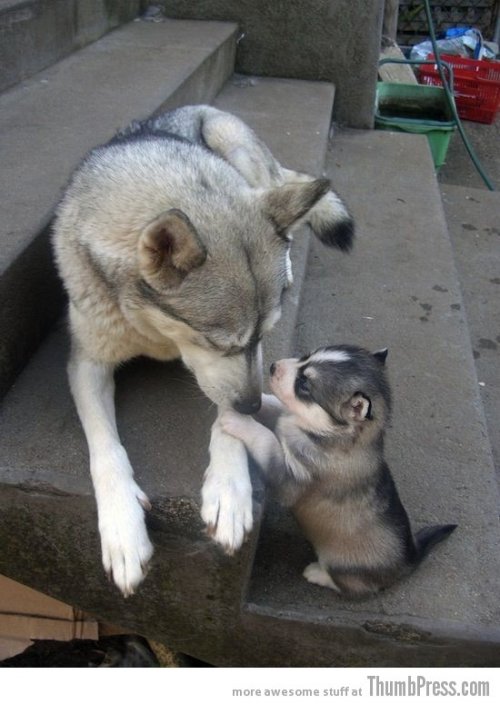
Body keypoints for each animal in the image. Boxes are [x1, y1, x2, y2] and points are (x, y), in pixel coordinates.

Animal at [52, 104, 354, 596]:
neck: (154, 332)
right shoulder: (87, 364)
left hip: (234, 145)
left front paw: (228, 489)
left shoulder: (248, 364)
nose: (254, 405)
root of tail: (198, 107)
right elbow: (105, 448)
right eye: (217, 342)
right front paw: (122, 528)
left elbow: (227, 415)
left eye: (262, 335)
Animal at [222, 344, 458, 596]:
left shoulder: (291, 479)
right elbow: (276, 407)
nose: (273, 366)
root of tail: (410, 557)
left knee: (350, 586)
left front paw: (239, 421)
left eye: (304, 385)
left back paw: (318, 574)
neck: (333, 435)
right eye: (305, 357)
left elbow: (266, 440)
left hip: (342, 565)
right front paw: (256, 403)